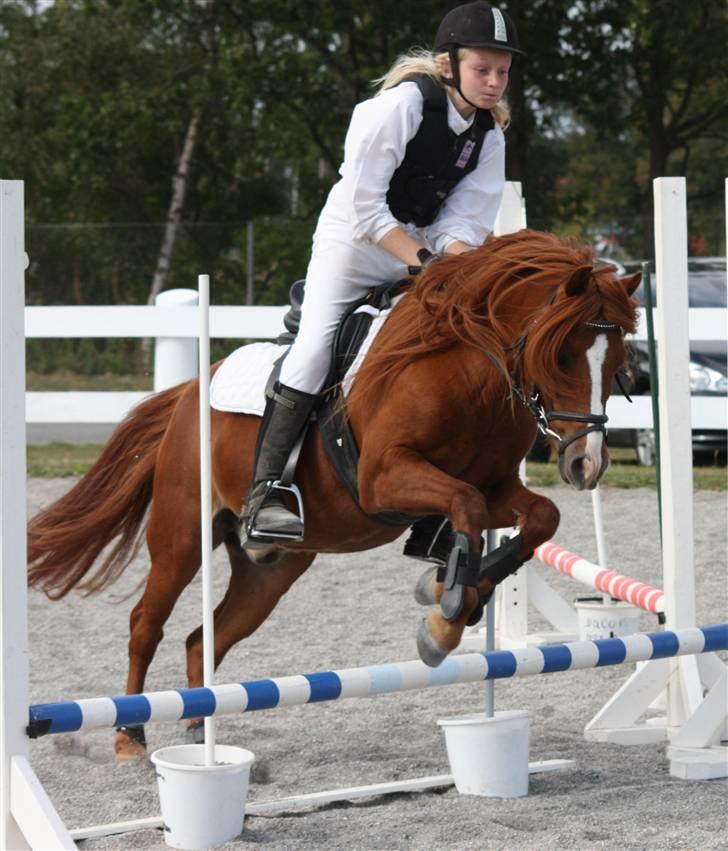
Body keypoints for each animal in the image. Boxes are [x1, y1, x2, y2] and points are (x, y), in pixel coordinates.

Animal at [27, 230, 636, 764]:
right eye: (562, 355)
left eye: (616, 361)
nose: (586, 464)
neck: (467, 370)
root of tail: (189, 391)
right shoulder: (383, 478)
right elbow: (465, 503)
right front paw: (444, 614)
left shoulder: (498, 485)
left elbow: (538, 517)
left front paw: (451, 593)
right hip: (182, 536)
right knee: (145, 625)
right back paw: (130, 737)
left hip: (272, 570)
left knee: (207, 638)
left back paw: (202, 728)